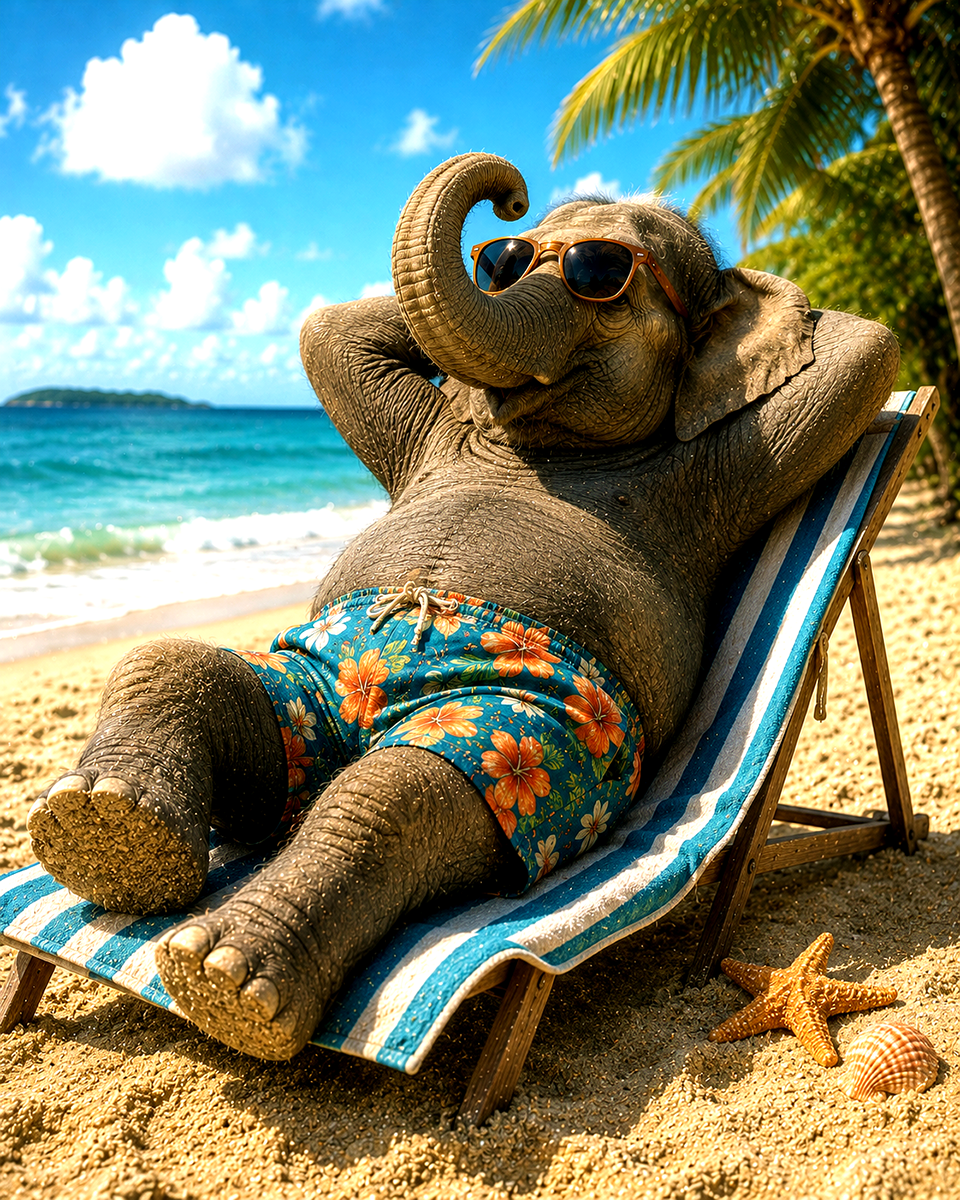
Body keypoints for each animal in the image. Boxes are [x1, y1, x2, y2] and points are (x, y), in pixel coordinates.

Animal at [26, 152, 898, 1063]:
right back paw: (108, 829)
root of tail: (362, 720)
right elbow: (329, 333)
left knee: (402, 790)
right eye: (507, 260)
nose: (508, 202)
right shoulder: (422, 433)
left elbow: (870, 347)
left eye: (599, 276)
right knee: (178, 664)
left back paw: (226, 975)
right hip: (310, 684)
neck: (539, 447)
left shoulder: (731, 470)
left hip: (533, 756)